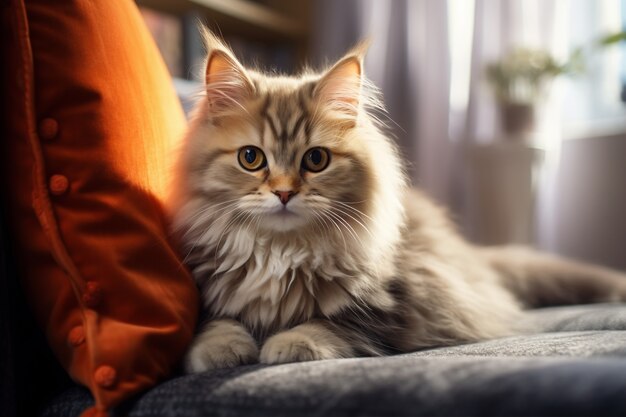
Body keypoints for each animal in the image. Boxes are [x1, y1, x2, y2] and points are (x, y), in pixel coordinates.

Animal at [165, 29, 624, 372]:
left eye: (315, 160)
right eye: (251, 158)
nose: (283, 192)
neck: (281, 253)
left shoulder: (400, 301)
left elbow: (336, 323)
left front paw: (290, 343)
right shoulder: (209, 292)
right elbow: (215, 322)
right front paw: (222, 349)